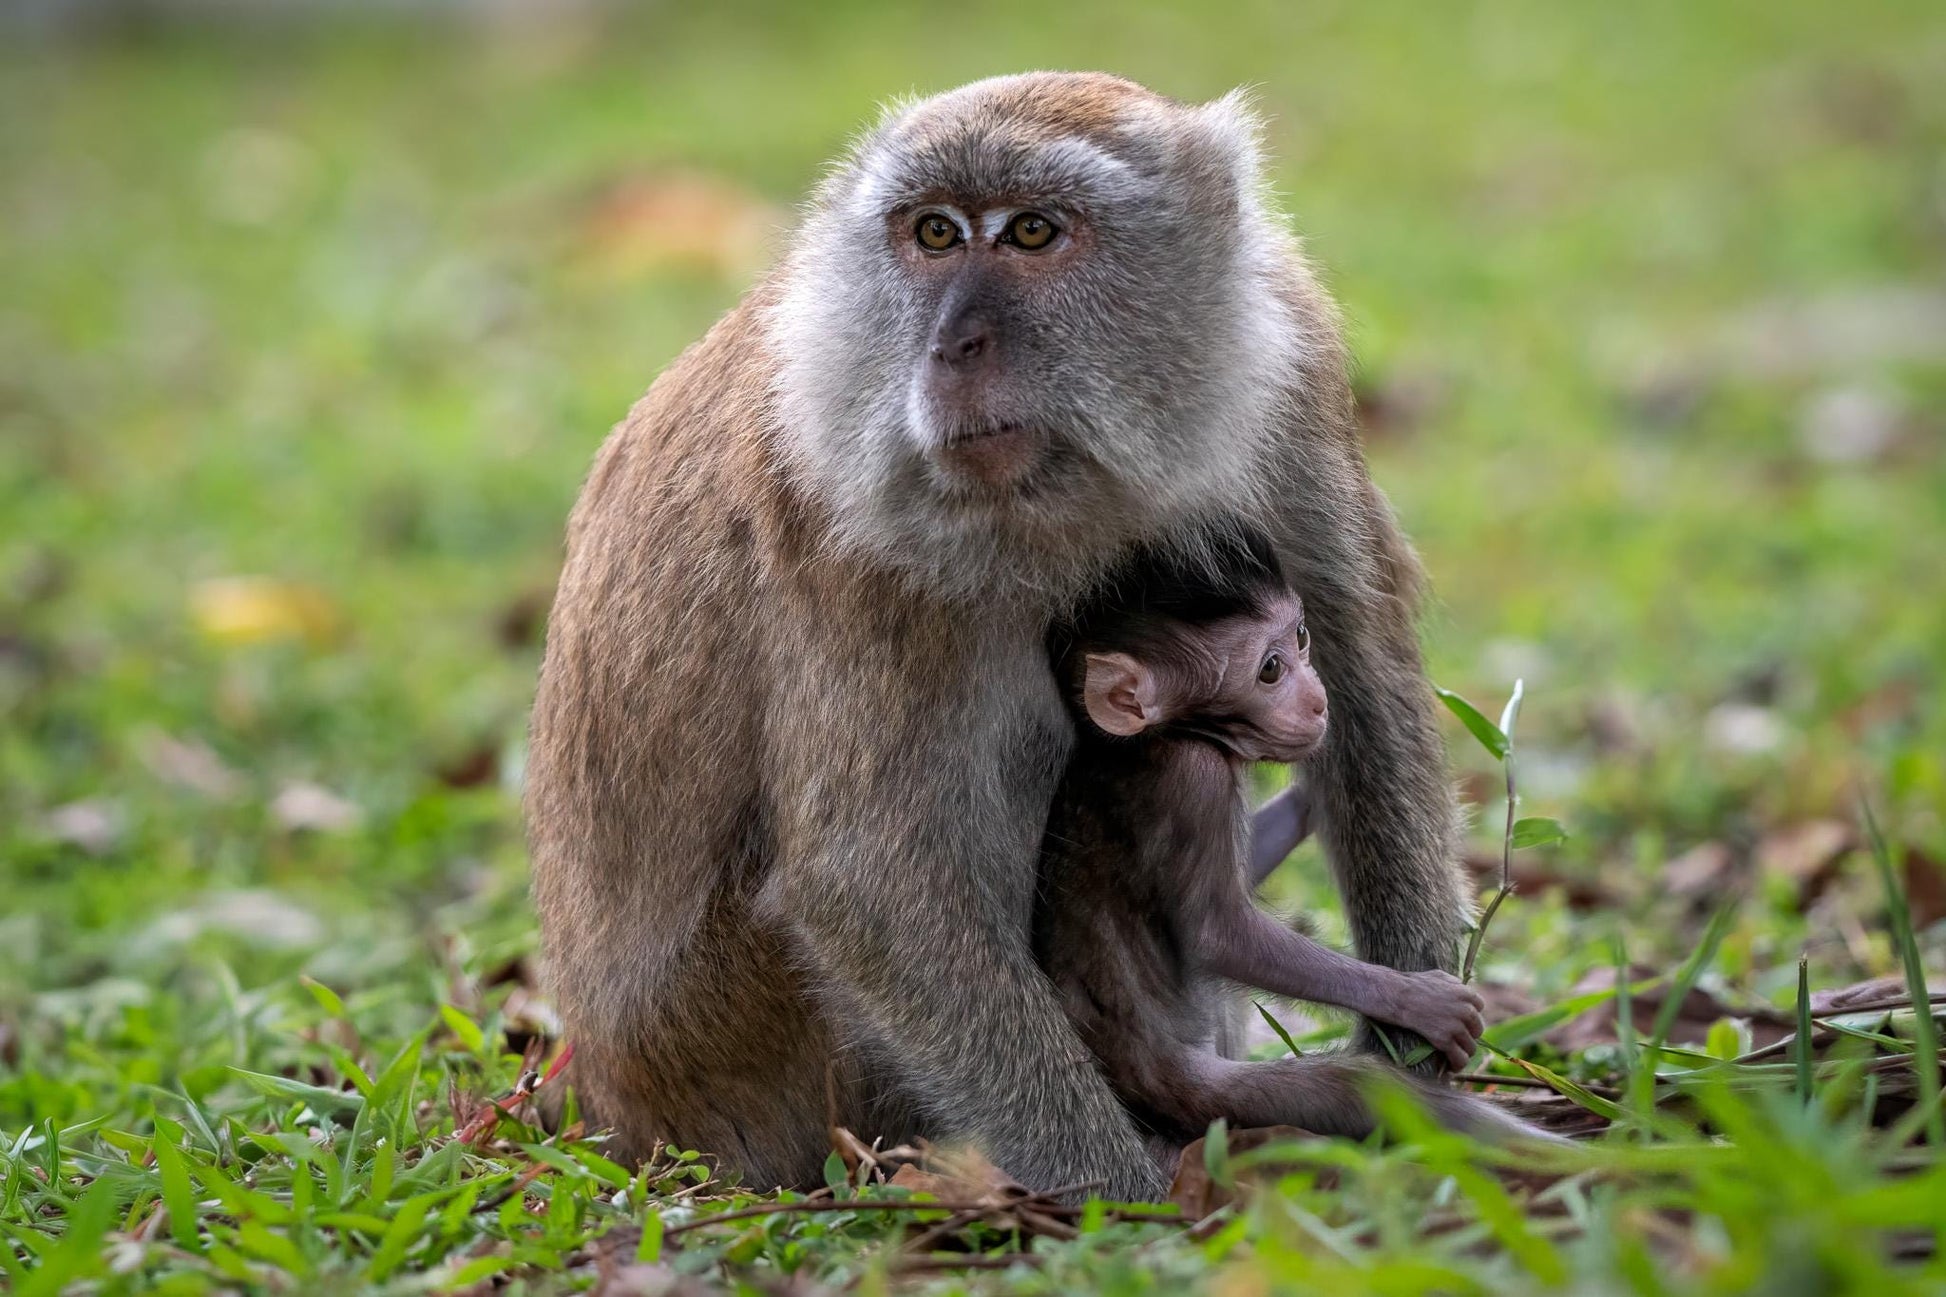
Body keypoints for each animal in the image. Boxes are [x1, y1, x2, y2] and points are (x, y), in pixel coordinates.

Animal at [527, 72, 1469, 1202]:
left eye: (1030, 232)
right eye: (934, 233)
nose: (949, 347)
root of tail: (607, 1102)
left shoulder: (1289, 368)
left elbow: (1363, 686)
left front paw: (1413, 1043)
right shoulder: (848, 516)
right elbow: (871, 882)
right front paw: (1125, 1197)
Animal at [1037, 528, 1533, 1152]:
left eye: (1300, 637)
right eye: (1270, 670)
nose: (1319, 700)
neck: (1155, 737)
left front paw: (1312, 796)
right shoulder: (1195, 779)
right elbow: (1219, 934)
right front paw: (1416, 1000)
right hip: (1211, 1092)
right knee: (1369, 1093)